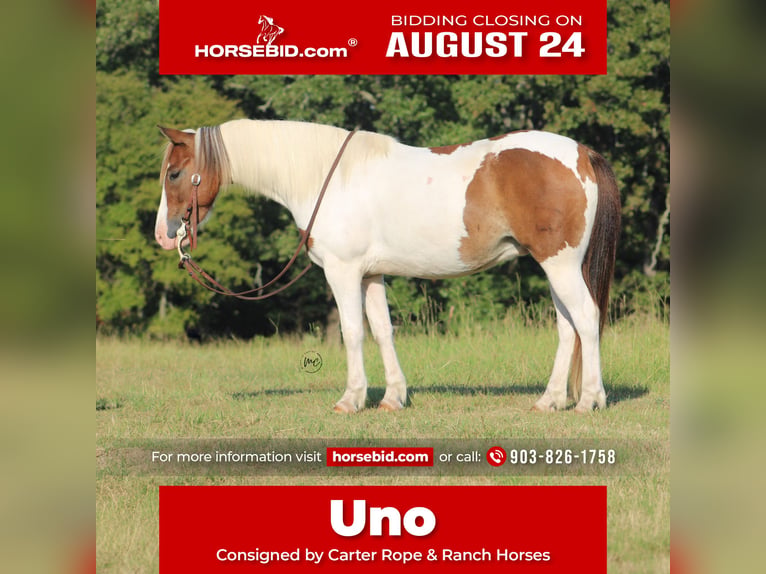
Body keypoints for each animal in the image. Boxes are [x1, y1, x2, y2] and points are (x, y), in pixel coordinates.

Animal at [154, 119, 620, 413]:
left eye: (175, 173)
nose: (164, 235)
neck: (327, 177)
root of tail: (581, 153)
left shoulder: (342, 271)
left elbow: (352, 331)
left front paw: (351, 399)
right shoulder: (370, 274)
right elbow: (382, 330)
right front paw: (392, 398)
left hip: (560, 263)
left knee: (586, 318)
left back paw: (588, 400)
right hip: (554, 266)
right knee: (567, 327)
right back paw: (549, 400)